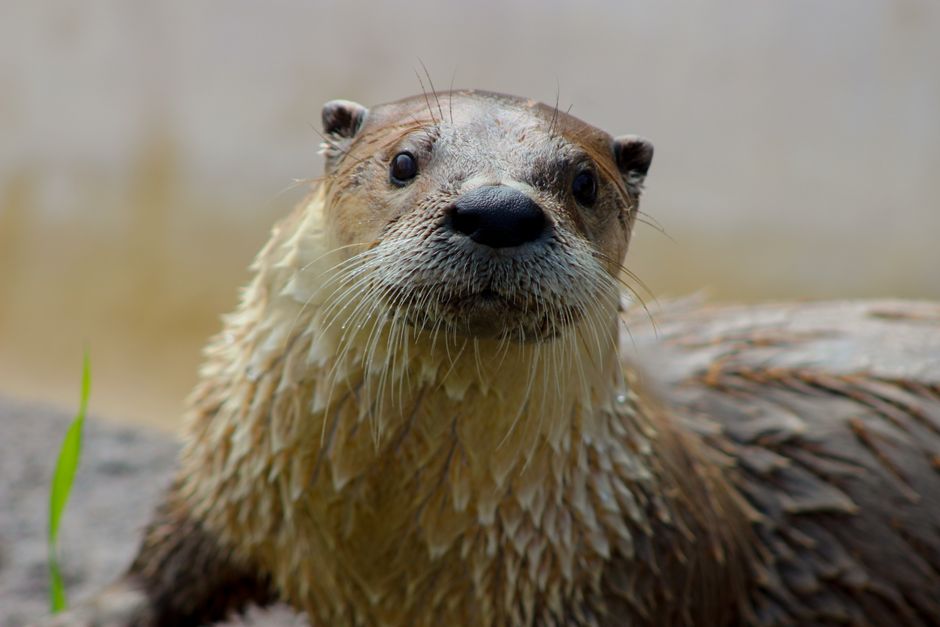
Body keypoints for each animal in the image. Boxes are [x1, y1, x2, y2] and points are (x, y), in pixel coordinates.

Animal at [38, 91, 940, 626]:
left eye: (583, 181)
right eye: (404, 161)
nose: (500, 208)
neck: (383, 546)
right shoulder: (233, 474)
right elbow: (166, 558)